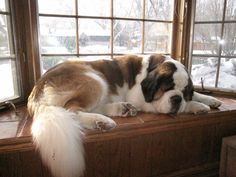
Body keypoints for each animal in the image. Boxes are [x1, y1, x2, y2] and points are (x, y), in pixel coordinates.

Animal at [27, 54, 221, 177]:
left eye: (185, 91)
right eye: (166, 88)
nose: (177, 99)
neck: (152, 68)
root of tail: (37, 88)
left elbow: (196, 95)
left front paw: (209, 99)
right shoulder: (141, 98)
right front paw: (198, 106)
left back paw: (121, 109)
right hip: (95, 79)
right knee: (71, 109)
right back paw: (101, 121)